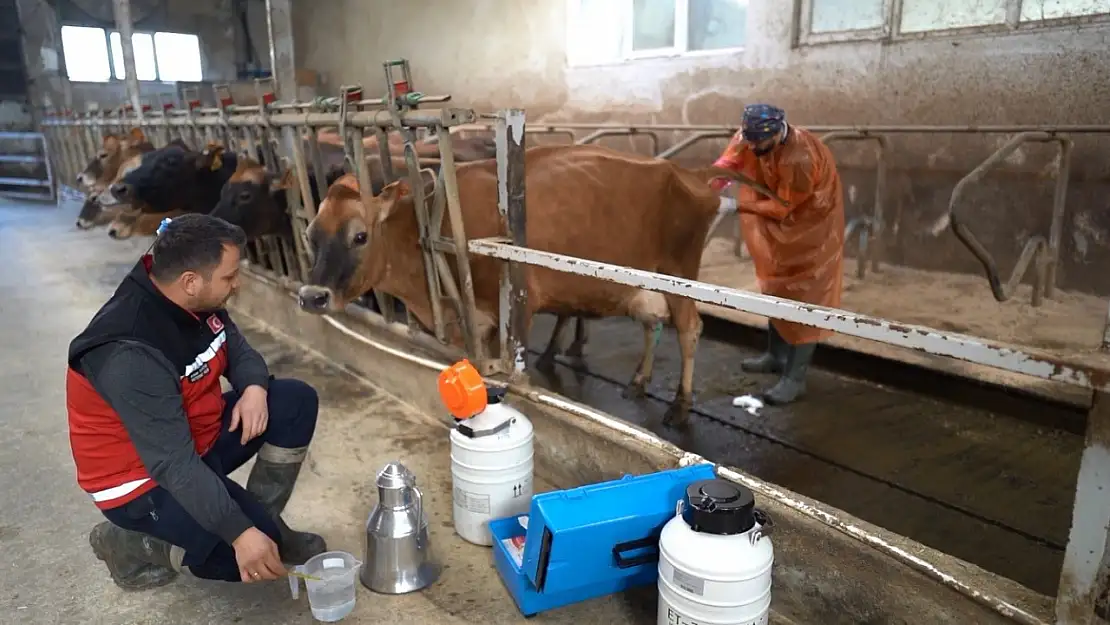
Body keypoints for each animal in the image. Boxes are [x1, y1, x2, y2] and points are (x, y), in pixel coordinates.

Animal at [295, 142, 781, 426]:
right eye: (311, 234)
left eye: (360, 235)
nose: (312, 296)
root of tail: (688, 173)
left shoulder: (515, 309)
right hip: (647, 281)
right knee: (651, 323)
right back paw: (639, 380)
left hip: (681, 273)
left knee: (689, 329)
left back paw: (680, 404)